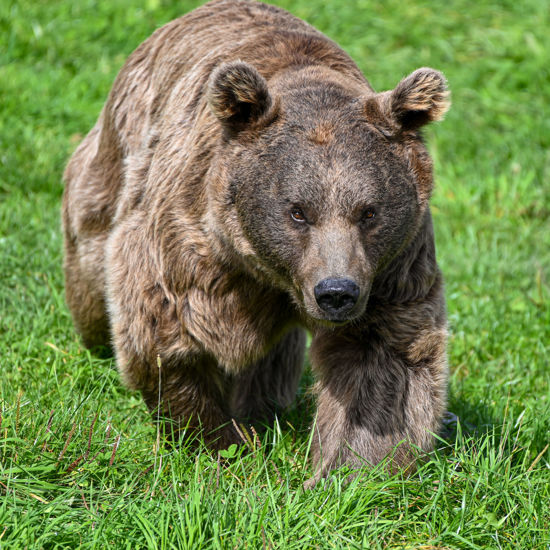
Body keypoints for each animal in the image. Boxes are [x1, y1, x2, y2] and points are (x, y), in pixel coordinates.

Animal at [63, 0, 452, 486]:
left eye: (369, 212)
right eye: (298, 211)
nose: (336, 293)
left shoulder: (393, 266)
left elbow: (382, 361)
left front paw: (349, 472)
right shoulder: (195, 235)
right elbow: (172, 326)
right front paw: (219, 442)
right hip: (117, 160)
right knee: (92, 272)